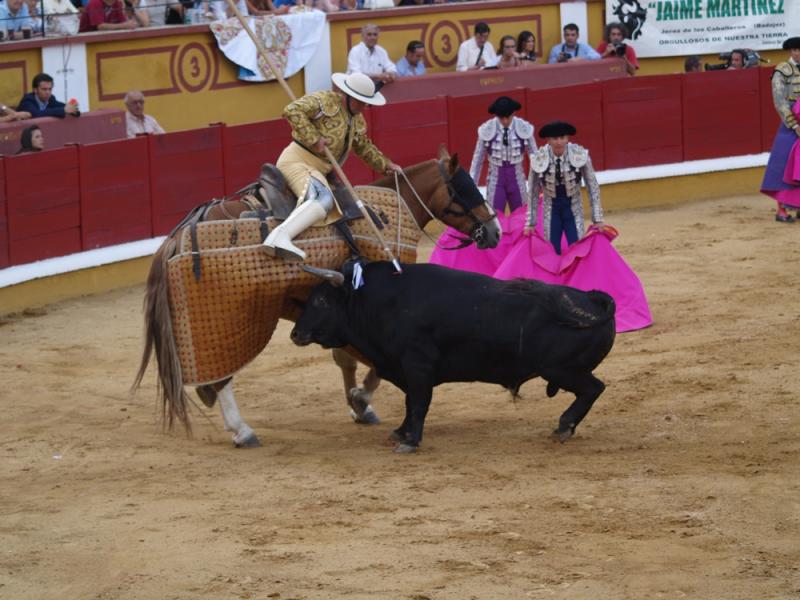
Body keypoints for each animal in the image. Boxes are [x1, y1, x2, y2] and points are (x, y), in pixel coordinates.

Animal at [134, 148, 504, 448]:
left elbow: (346, 357)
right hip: (224, 315)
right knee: (223, 373)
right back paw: (242, 430)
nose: (495, 231)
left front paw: (359, 406)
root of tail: (178, 235)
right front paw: (361, 398)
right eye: (464, 188)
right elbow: (374, 361)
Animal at [290, 260, 616, 452]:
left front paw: (411, 442)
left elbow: (418, 403)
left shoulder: (417, 365)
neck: (377, 301)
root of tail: (592, 299)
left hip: (561, 369)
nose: (295, 333)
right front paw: (400, 433)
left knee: (594, 389)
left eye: (320, 301)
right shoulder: (403, 369)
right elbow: (409, 404)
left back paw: (563, 427)